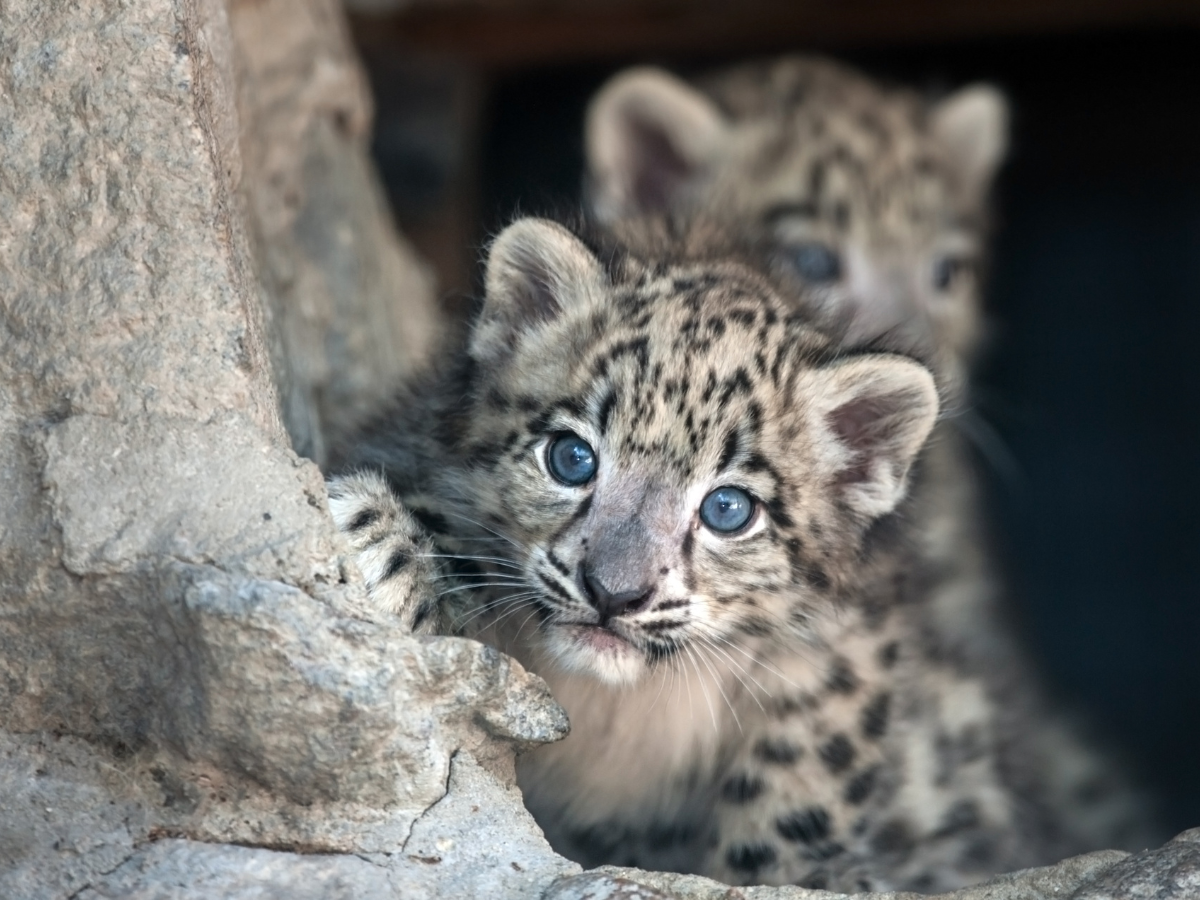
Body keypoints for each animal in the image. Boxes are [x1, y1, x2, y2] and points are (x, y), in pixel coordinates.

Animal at [327, 214, 1105, 891]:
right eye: (572, 457)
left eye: (728, 509)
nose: (613, 592)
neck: (615, 710)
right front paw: (386, 538)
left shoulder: (844, 653)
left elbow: (809, 769)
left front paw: (800, 873)